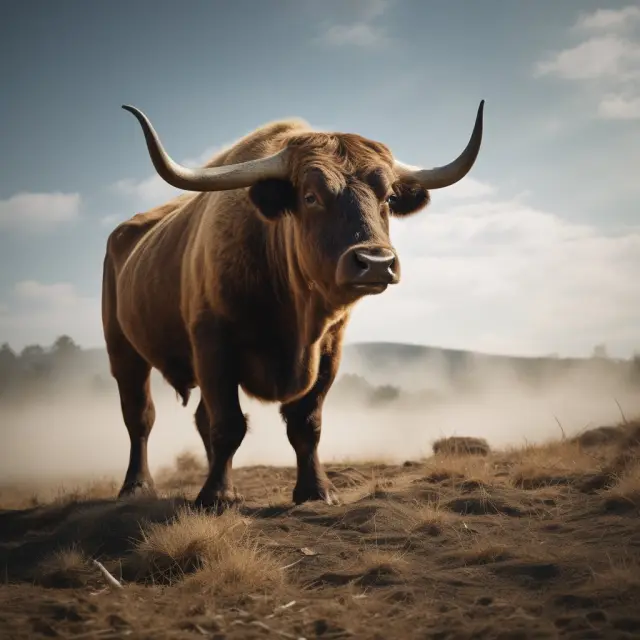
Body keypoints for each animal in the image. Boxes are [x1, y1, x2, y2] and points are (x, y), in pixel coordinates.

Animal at [102, 101, 485, 510]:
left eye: (387, 199)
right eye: (311, 196)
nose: (375, 262)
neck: (295, 315)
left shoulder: (328, 352)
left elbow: (305, 424)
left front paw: (315, 490)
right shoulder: (212, 345)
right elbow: (228, 424)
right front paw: (216, 496)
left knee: (198, 418)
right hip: (123, 352)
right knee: (140, 417)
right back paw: (137, 486)